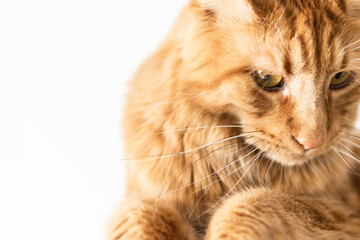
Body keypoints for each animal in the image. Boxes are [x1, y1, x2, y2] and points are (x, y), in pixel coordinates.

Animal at [108, 0, 360, 239]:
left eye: (339, 78)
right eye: (267, 78)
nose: (312, 141)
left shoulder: (342, 213)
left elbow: (254, 203)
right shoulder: (140, 197)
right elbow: (141, 214)